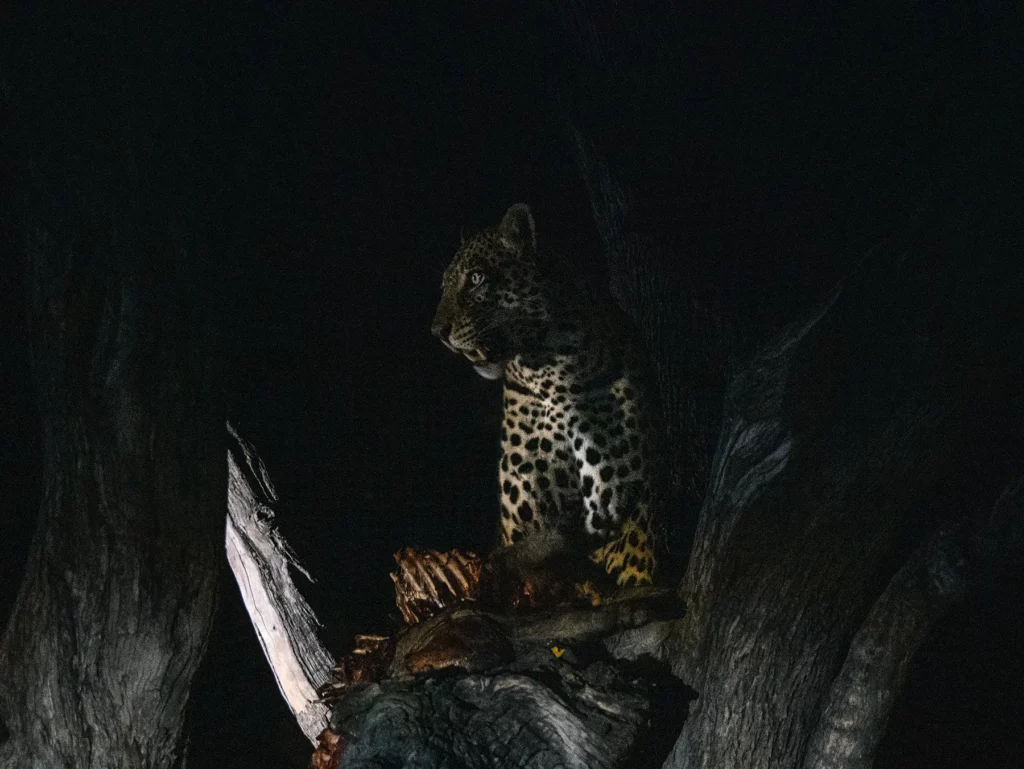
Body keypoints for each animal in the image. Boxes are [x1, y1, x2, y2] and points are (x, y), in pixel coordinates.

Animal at [431, 203, 661, 588]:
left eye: (476, 278)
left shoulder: (614, 499)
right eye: (444, 286)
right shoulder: (526, 513)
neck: (555, 372)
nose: (438, 332)